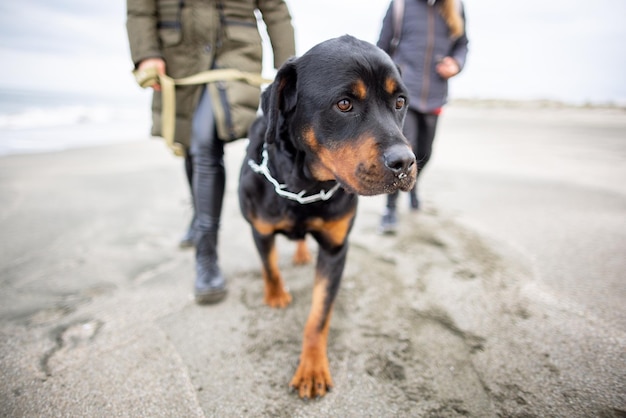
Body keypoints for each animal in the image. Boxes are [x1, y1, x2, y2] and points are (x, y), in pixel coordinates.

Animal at [238, 36, 414, 398]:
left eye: (400, 101)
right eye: (344, 104)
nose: (405, 162)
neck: (304, 187)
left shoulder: (335, 249)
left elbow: (319, 315)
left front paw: (312, 367)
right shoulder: (259, 228)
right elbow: (269, 266)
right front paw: (275, 295)